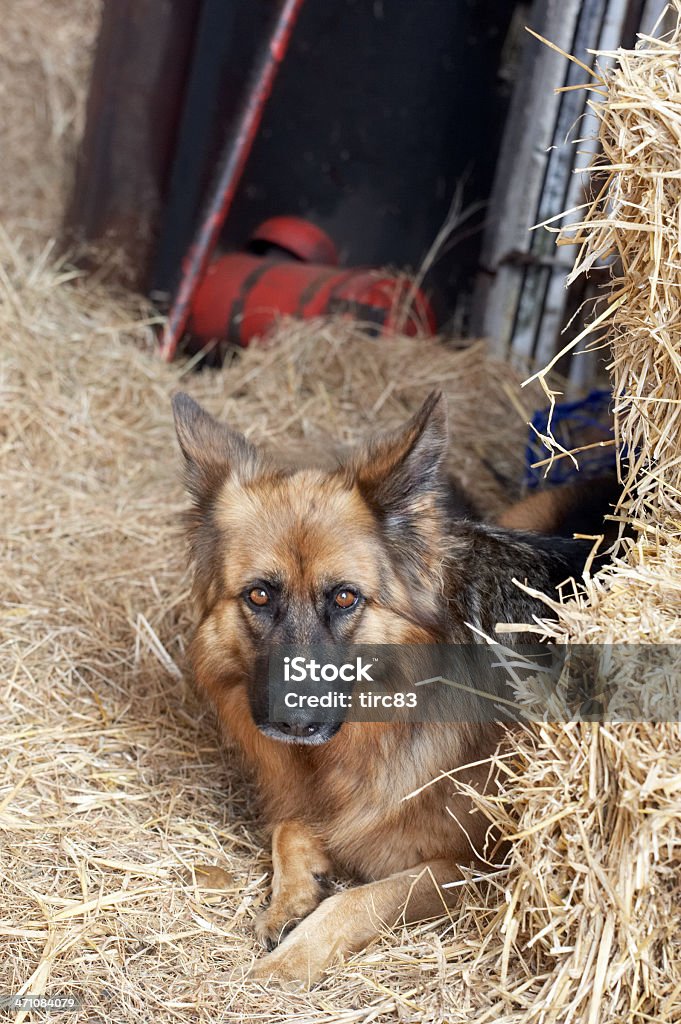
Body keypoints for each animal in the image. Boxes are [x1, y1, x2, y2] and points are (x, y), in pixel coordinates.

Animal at [171, 389, 606, 983]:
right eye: (259, 596)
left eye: (345, 597)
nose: (293, 722)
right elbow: (289, 829)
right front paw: (291, 899)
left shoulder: (476, 867)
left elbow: (358, 899)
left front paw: (290, 960)